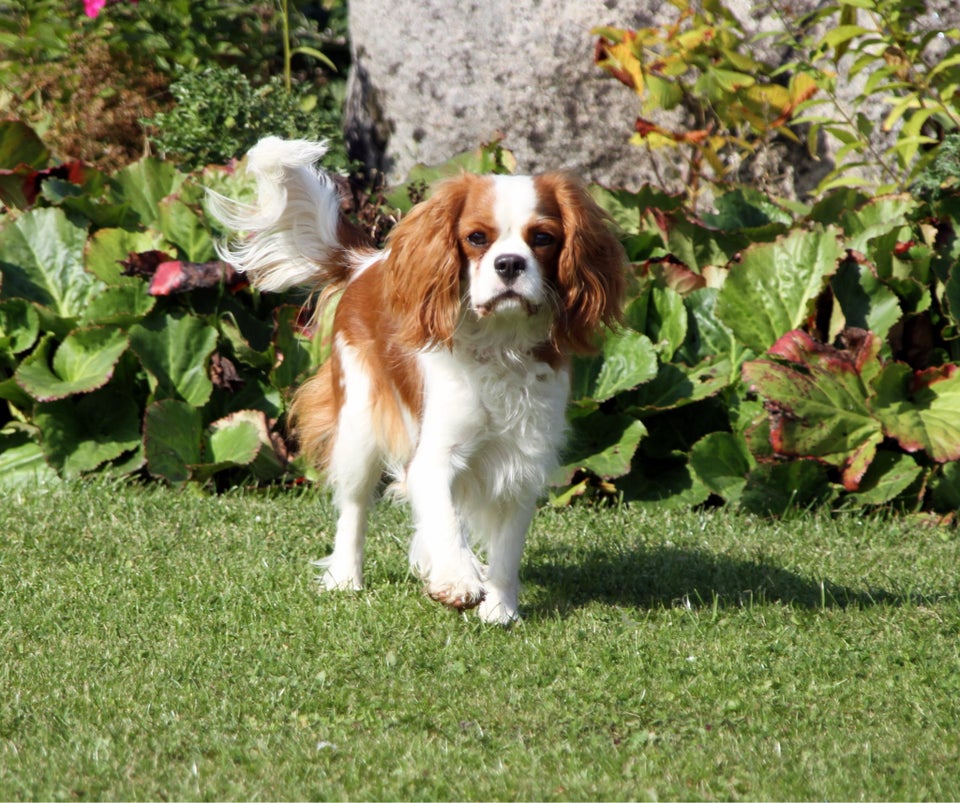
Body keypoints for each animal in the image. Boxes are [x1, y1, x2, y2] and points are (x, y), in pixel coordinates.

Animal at [210, 138, 628, 624]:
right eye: (476, 238)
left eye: (543, 238)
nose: (509, 264)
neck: (499, 345)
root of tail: (368, 262)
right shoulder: (434, 454)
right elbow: (443, 518)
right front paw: (457, 582)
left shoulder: (522, 461)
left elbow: (505, 548)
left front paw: (500, 609)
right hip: (359, 426)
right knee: (354, 507)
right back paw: (346, 578)